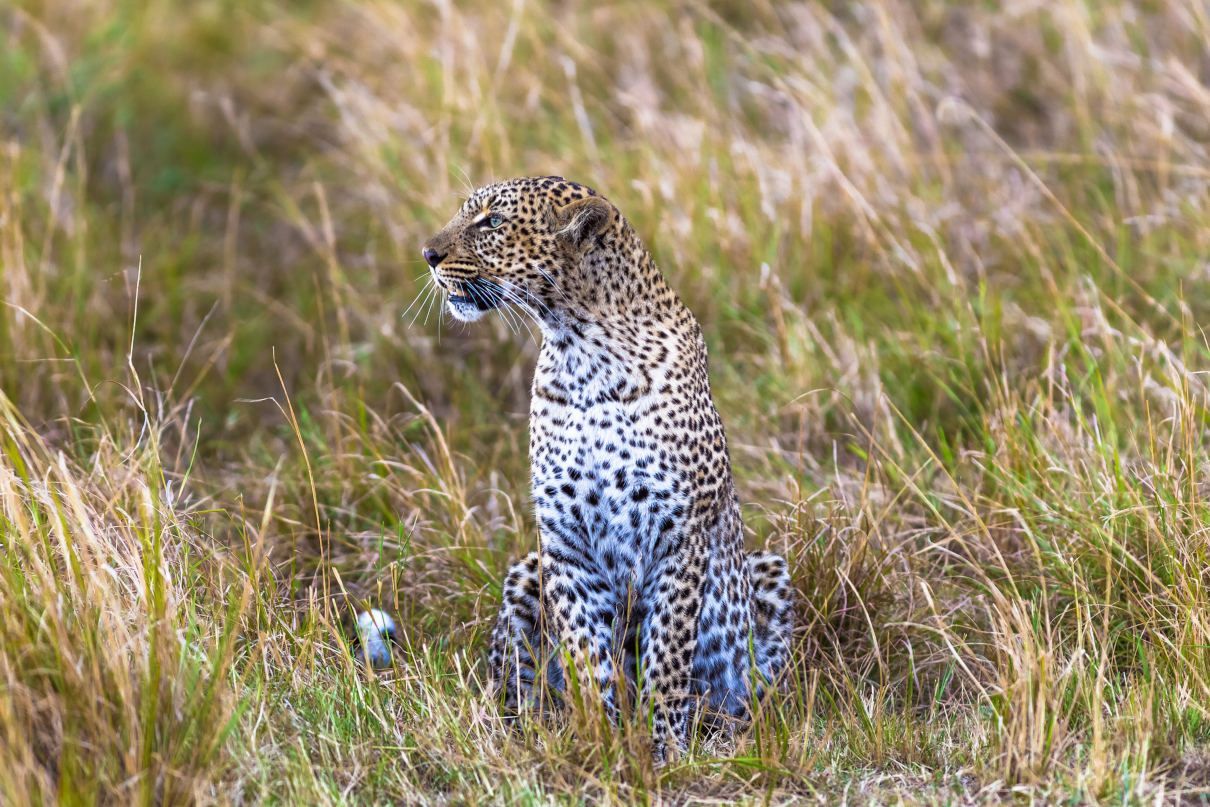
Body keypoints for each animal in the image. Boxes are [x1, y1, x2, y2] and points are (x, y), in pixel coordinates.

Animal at [420, 176, 793, 760]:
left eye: (492, 223)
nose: (428, 254)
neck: (581, 354)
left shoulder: (677, 538)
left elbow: (667, 658)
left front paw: (663, 752)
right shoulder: (565, 541)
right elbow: (585, 656)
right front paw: (602, 744)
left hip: (767, 571)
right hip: (526, 572)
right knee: (515, 684)